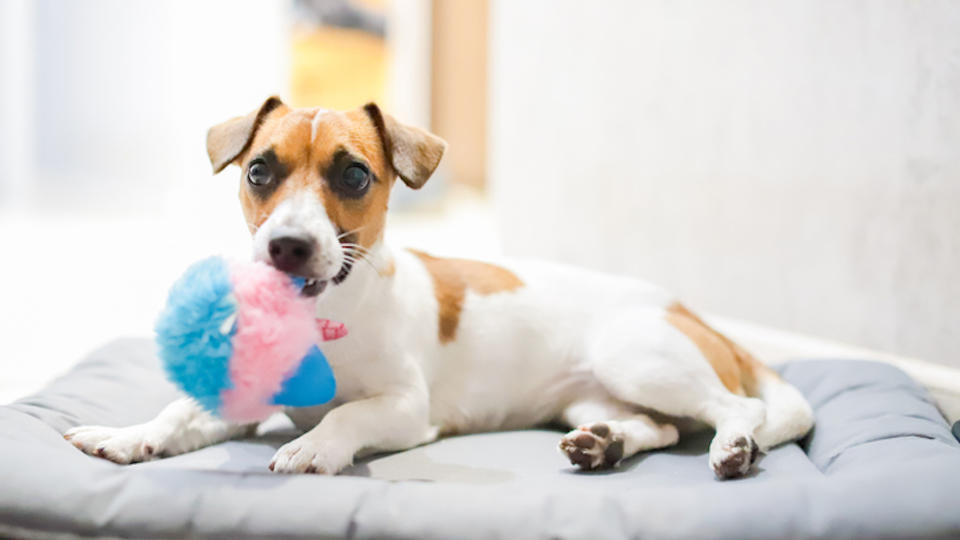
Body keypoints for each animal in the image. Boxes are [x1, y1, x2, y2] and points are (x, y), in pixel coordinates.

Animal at [62, 97, 808, 476]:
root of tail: (690, 312)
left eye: (354, 175)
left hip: (639, 356)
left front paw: (315, 444)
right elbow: (178, 414)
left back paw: (732, 446)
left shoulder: (403, 408)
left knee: (737, 409)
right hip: (595, 395)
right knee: (657, 427)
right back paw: (606, 443)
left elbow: (348, 416)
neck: (325, 312)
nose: (287, 247)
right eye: (258, 171)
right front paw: (131, 435)